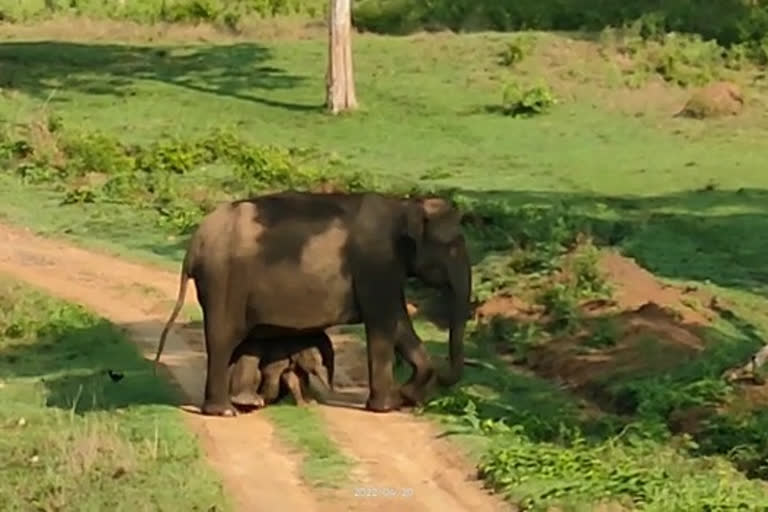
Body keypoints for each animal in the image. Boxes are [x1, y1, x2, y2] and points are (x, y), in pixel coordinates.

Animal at [154, 190, 472, 414]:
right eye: (453, 246)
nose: (444, 379)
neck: (406, 206)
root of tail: (194, 246)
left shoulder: (386, 270)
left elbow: (398, 323)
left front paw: (405, 398)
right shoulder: (376, 263)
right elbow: (382, 322)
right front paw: (385, 407)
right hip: (224, 281)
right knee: (223, 339)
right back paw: (224, 411)